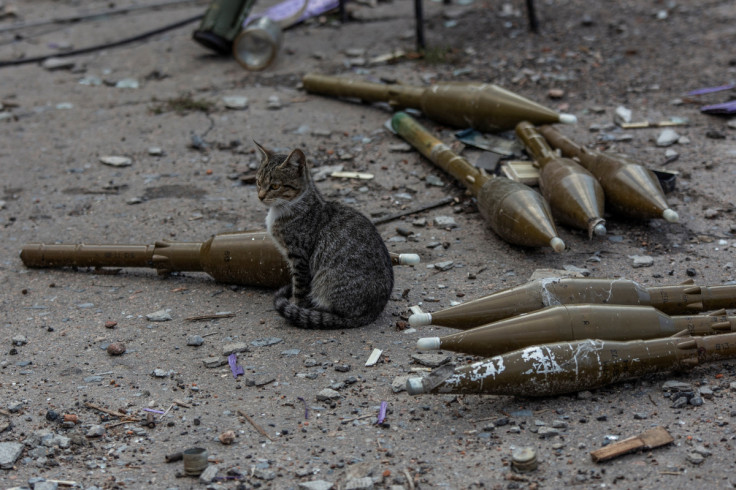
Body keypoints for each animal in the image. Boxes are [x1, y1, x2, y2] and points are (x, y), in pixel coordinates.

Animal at [254, 142, 394, 330]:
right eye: (258, 182)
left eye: (275, 186)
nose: (260, 196)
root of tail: (373, 311)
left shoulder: (299, 257)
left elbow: (300, 289)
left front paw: (295, 308)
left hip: (327, 280)